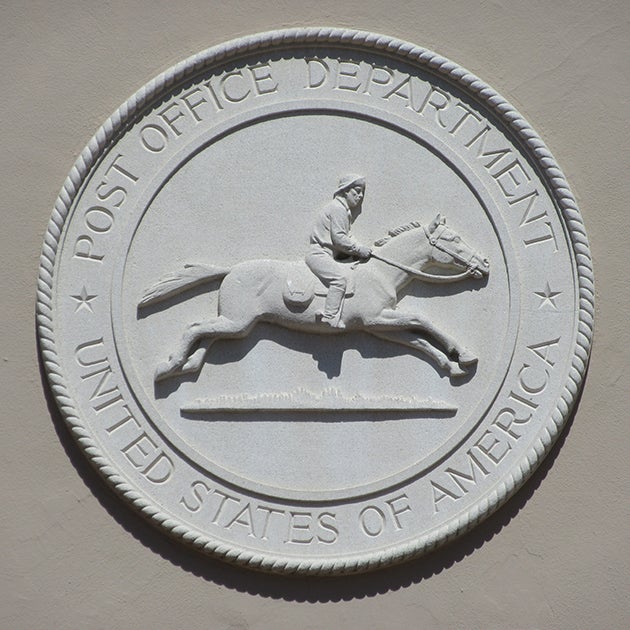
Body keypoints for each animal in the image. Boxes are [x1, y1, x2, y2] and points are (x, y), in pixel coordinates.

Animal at [141, 214, 492, 380]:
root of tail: (231, 269)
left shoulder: (380, 327)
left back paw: (185, 366)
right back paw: (170, 366)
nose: (485, 263)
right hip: (237, 321)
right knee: (195, 329)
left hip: (236, 323)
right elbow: (422, 319)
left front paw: (452, 365)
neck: (381, 273)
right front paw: (464, 356)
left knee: (207, 336)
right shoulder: (377, 319)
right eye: (453, 239)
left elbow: (418, 340)